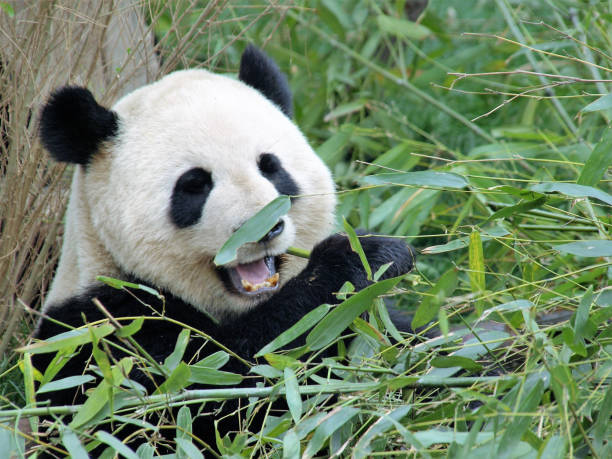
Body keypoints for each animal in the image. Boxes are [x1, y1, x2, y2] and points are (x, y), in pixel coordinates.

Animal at [33, 45, 416, 454]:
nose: (263, 228)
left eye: (271, 167)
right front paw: (363, 255)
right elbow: (219, 392)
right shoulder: (102, 334)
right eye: (194, 184)